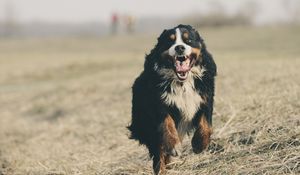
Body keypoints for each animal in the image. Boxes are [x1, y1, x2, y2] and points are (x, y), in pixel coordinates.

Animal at [127, 23, 217, 174]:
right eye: (170, 41)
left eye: (188, 40)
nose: (179, 47)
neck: (182, 83)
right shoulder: (159, 104)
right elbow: (167, 124)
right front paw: (174, 146)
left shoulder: (205, 98)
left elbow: (206, 124)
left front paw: (199, 144)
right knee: (159, 152)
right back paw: (161, 169)